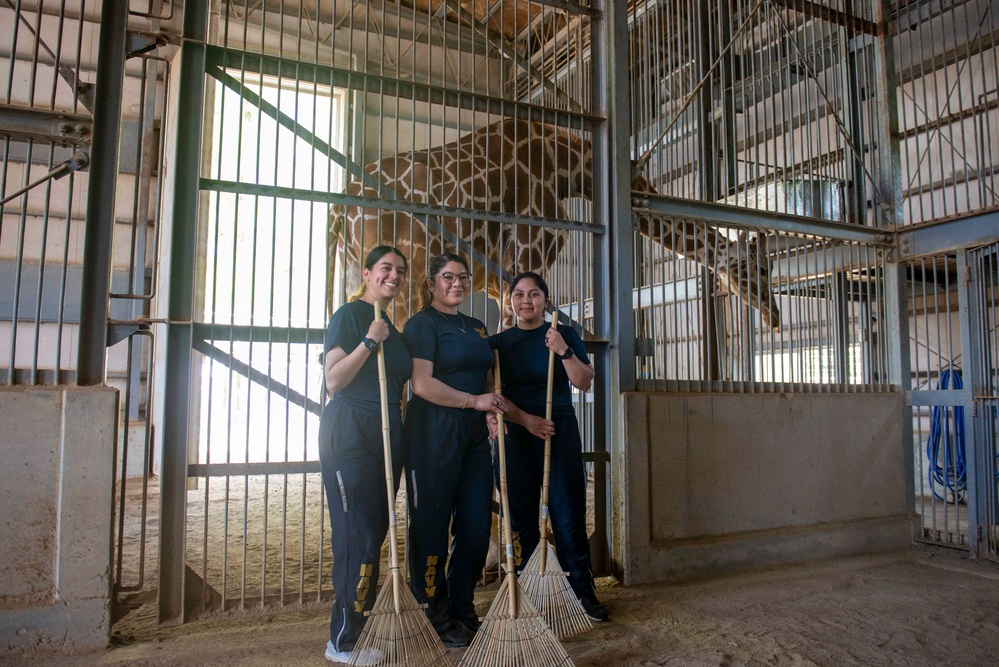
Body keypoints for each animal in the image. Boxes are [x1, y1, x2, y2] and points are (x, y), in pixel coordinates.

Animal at [328, 119, 780, 332]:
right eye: (758, 268)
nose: (775, 317)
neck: (570, 169)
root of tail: (340, 205)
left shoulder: (501, 285)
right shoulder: (525, 262)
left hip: (352, 279)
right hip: (404, 282)